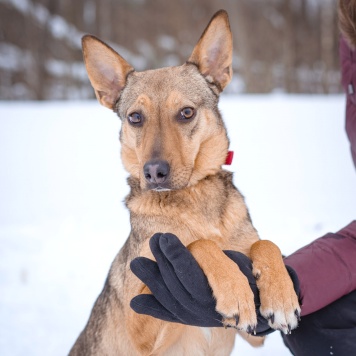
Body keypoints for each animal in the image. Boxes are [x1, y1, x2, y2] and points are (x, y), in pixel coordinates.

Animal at [70, 9, 300, 354]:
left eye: (187, 112)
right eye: (135, 117)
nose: (154, 172)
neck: (193, 200)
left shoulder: (254, 335)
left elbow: (265, 242)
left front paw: (282, 296)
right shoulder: (140, 320)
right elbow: (196, 243)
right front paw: (234, 289)